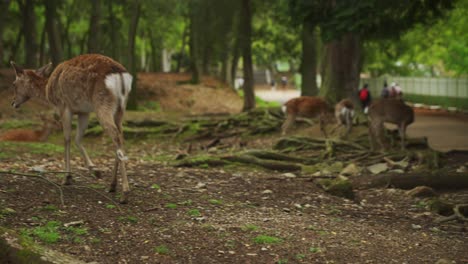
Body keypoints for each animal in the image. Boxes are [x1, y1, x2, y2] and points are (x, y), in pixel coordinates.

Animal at [10, 53, 133, 202]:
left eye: (14, 84)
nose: (13, 103)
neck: (47, 92)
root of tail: (120, 75)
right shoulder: (83, 111)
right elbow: (78, 139)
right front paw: (95, 170)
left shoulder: (64, 107)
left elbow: (67, 139)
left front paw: (67, 177)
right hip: (121, 108)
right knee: (121, 135)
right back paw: (112, 185)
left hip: (102, 102)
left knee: (115, 135)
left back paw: (125, 193)